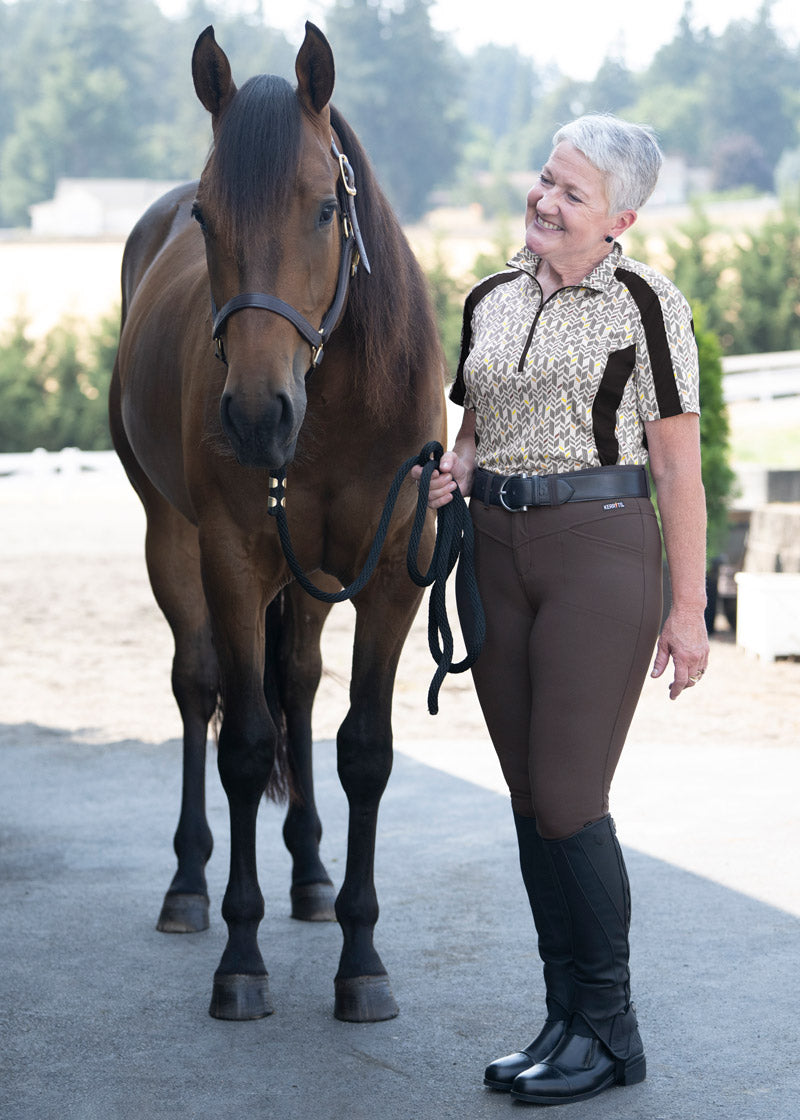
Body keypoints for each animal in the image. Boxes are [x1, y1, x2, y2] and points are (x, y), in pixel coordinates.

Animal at [109, 24, 445, 1025]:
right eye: (208, 220)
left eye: (325, 211)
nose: (259, 416)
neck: (338, 404)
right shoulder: (233, 559)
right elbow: (246, 745)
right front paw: (242, 958)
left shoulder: (390, 576)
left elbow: (363, 750)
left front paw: (362, 961)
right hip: (172, 543)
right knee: (199, 687)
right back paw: (189, 887)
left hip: (316, 580)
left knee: (296, 684)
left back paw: (311, 874)